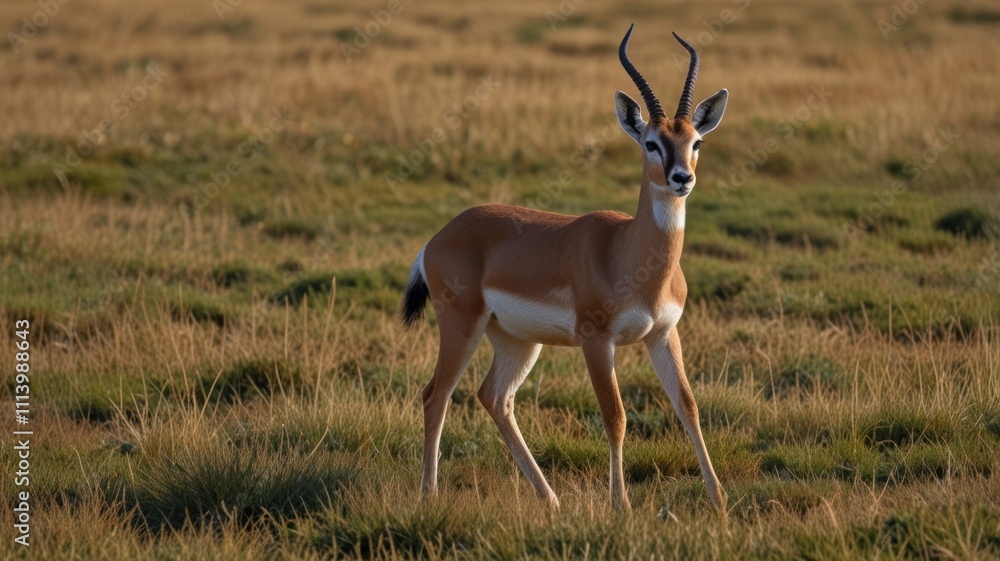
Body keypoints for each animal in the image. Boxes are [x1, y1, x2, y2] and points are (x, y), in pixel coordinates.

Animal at [399, 24, 729, 513]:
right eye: (651, 142)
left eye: (696, 142)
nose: (681, 178)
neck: (630, 256)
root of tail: (439, 237)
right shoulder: (597, 341)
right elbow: (616, 417)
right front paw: (621, 507)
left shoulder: (663, 334)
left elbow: (688, 406)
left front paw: (720, 500)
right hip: (462, 326)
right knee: (435, 395)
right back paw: (430, 495)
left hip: (516, 340)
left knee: (494, 398)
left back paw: (551, 500)